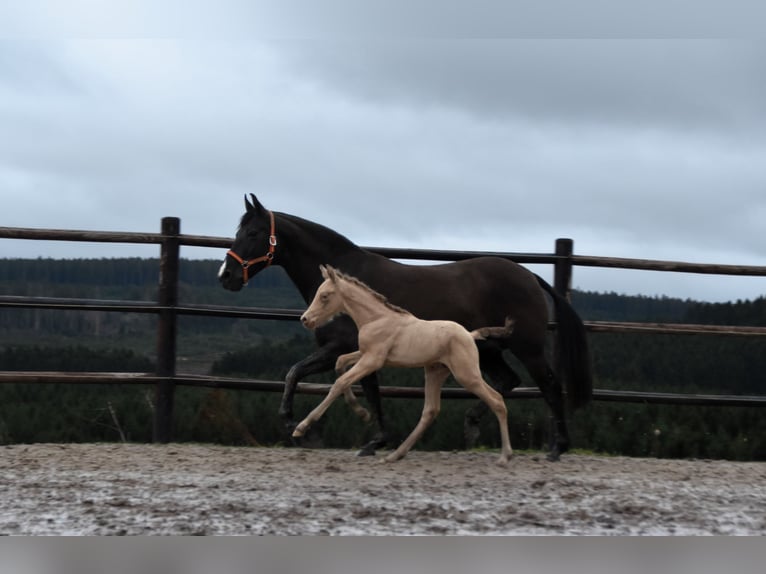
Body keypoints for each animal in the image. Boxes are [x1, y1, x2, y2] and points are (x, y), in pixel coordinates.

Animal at [294, 266, 516, 468]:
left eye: (324, 296)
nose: (305, 319)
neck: (376, 319)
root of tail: (470, 335)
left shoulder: (373, 359)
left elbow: (340, 382)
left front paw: (302, 426)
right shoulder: (367, 355)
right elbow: (340, 363)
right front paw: (361, 412)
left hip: (466, 374)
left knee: (496, 400)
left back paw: (505, 456)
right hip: (435, 371)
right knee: (430, 410)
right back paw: (395, 455)